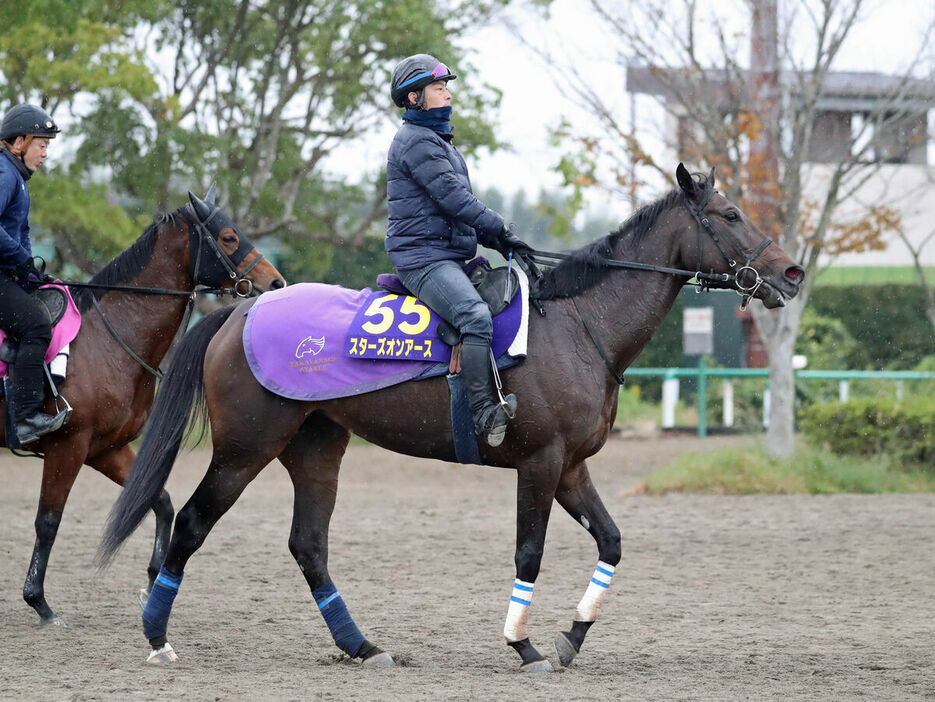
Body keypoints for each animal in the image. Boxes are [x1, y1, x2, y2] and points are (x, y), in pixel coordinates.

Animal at [2, 188, 286, 628]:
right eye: (228, 237)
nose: (275, 281)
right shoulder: (68, 447)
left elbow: (161, 501)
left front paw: (153, 579)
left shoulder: (105, 450)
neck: (106, 338)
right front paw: (39, 602)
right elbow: (48, 521)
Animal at [98, 165, 804, 672]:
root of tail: (241, 312)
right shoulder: (541, 463)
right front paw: (524, 645)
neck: (578, 325)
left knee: (309, 546)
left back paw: (362, 646)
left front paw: (573, 635)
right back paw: (156, 637)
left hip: (317, 448)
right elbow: (529, 552)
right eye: (732, 214)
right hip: (245, 448)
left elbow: (611, 541)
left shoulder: (571, 467)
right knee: (192, 523)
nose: (793, 273)